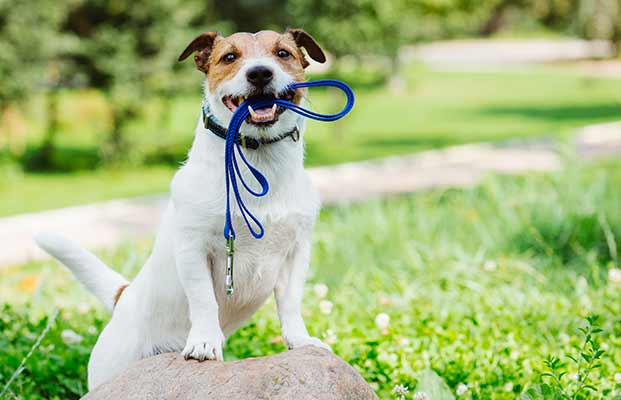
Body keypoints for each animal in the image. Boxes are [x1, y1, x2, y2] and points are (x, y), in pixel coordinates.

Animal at [35, 28, 330, 390]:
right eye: (229, 57)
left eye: (283, 53)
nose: (260, 73)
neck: (258, 162)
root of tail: (125, 297)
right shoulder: (194, 248)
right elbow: (203, 299)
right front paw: (204, 342)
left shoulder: (296, 252)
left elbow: (290, 302)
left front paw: (299, 340)